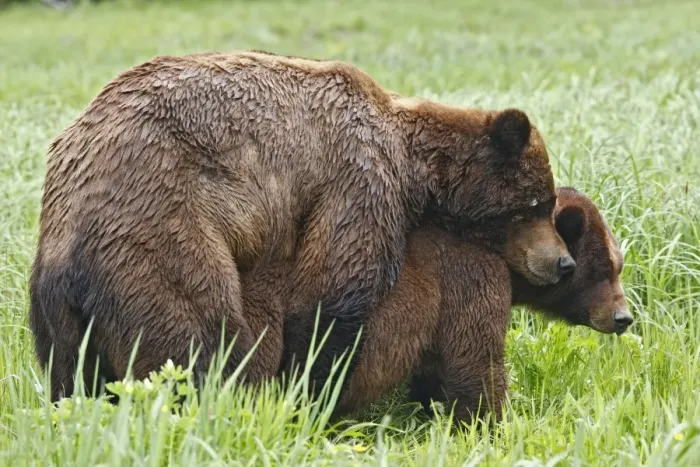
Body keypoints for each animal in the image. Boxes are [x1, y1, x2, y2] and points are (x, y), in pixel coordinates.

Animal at [28, 50, 569, 402]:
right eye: (536, 204)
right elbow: (333, 290)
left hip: (52, 298)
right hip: (158, 224)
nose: (561, 261)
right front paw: (310, 385)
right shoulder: (358, 178)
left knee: (70, 373)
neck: (412, 160)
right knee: (197, 336)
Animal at [333, 186, 632, 425]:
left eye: (619, 265)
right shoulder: (468, 275)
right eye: (603, 270)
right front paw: (490, 423)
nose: (623, 317)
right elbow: (477, 360)